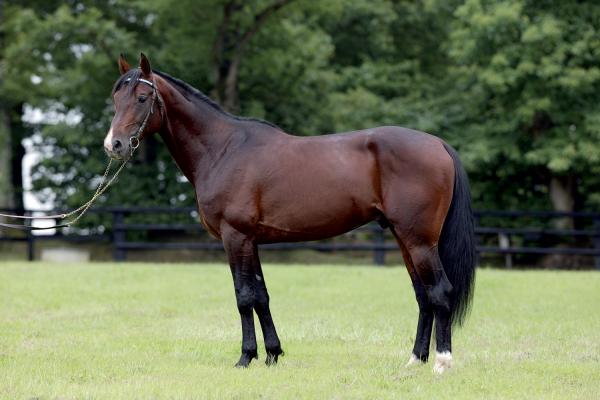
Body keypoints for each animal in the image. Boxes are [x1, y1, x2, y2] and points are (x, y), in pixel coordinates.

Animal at [105, 51, 476, 374]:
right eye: (115, 99)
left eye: (142, 98)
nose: (114, 145)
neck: (223, 149)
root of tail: (438, 144)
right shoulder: (251, 241)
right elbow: (261, 296)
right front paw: (272, 354)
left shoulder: (234, 236)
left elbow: (243, 297)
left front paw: (245, 357)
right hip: (403, 238)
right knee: (423, 296)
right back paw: (415, 360)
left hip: (419, 241)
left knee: (440, 292)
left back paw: (442, 363)